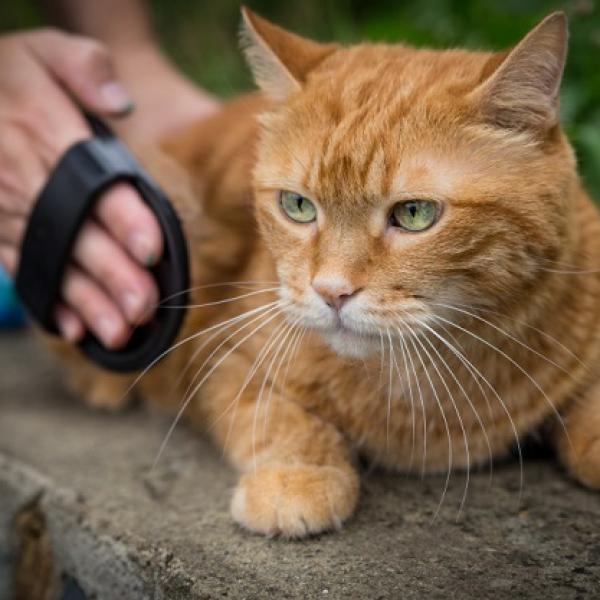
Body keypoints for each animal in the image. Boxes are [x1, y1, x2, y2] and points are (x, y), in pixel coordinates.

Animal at [54, 8, 600, 540]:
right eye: (297, 206)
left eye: (415, 214)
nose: (332, 291)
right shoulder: (221, 354)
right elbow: (278, 418)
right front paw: (297, 478)